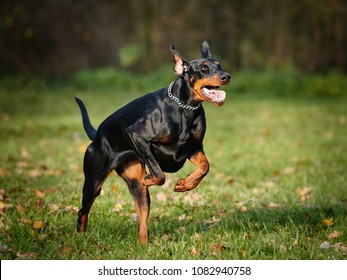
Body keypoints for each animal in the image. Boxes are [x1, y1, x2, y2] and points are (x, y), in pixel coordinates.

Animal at [75, 41, 231, 243]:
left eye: (219, 65)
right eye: (204, 68)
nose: (226, 76)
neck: (185, 108)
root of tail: (97, 135)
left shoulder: (194, 148)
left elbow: (205, 166)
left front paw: (186, 184)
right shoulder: (136, 135)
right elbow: (159, 173)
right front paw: (152, 179)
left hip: (138, 190)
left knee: (142, 221)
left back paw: (144, 244)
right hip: (93, 181)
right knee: (83, 210)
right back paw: (81, 236)